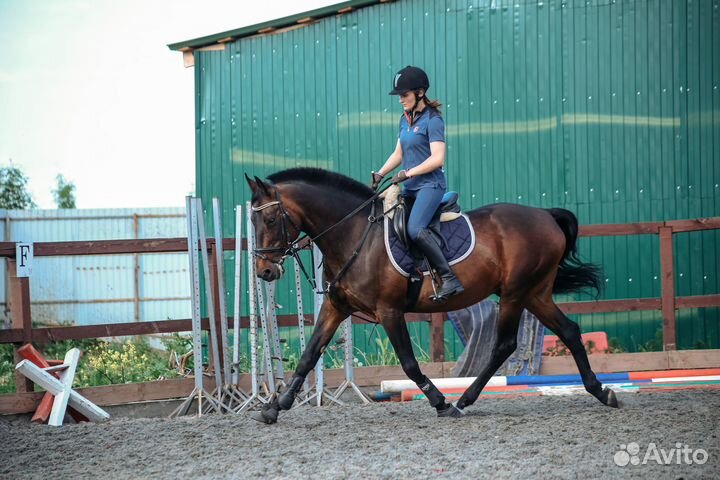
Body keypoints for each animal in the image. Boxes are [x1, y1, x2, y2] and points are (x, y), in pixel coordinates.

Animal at [245, 168, 617, 424]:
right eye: (252, 220)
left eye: (270, 218)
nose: (265, 272)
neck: (354, 235)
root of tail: (546, 216)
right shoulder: (336, 307)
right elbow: (308, 356)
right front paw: (275, 407)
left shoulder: (389, 311)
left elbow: (409, 363)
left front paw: (440, 402)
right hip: (535, 294)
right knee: (568, 331)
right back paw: (601, 391)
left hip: (515, 293)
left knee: (504, 345)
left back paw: (462, 402)